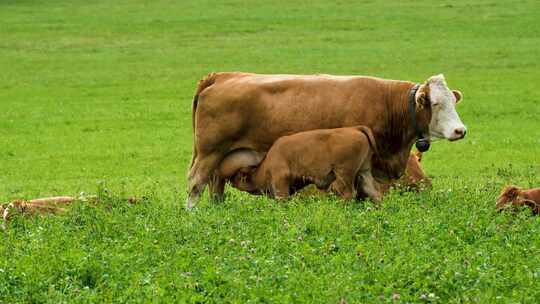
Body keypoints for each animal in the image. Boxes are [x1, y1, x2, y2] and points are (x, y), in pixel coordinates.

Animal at [221, 126, 382, 202]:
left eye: (238, 175)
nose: (229, 180)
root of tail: (355, 128)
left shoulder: (281, 180)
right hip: (364, 172)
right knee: (375, 193)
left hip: (344, 174)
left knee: (347, 193)